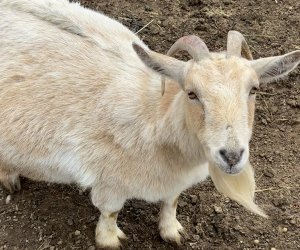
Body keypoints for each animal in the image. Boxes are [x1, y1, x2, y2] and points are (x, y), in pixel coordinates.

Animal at [0, 0, 300, 248]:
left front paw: (172, 231)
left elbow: (172, 200)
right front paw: (109, 240)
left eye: (254, 89)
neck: (157, 116)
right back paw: (10, 179)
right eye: (191, 93)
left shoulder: (175, 179)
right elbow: (110, 211)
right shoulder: (109, 179)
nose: (232, 156)